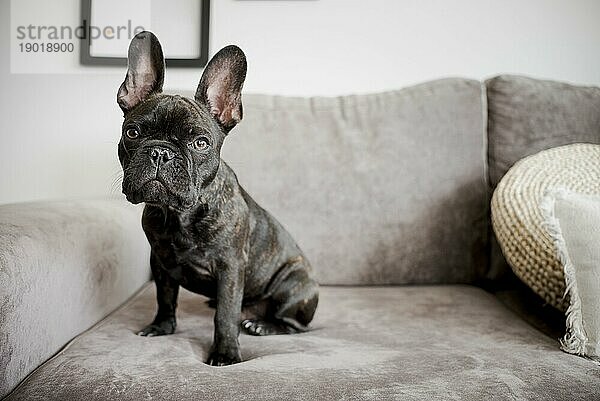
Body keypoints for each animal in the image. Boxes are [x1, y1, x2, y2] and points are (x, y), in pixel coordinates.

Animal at [116, 32, 318, 366]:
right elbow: (164, 297)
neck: (179, 214)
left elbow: (225, 314)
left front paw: (225, 352)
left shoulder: (230, 268)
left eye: (200, 143)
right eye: (132, 132)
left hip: (294, 286)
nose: (161, 152)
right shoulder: (160, 261)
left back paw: (263, 325)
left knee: (293, 324)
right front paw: (161, 327)